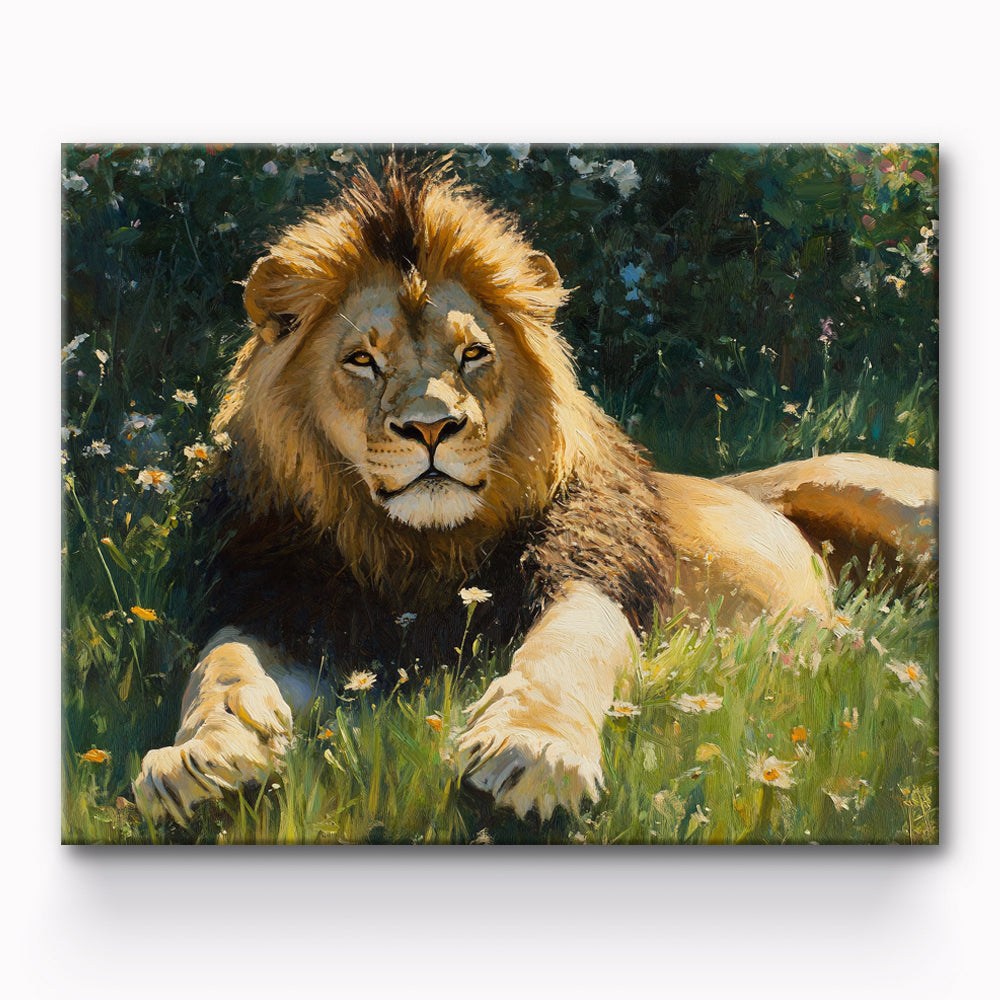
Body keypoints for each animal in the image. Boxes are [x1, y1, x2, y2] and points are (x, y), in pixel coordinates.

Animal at [133, 159, 937, 825]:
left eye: (473, 354)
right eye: (362, 360)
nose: (432, 427)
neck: (419, 549)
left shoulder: (590, 571)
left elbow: (567, 647)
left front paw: (533, 751)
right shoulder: (278, 593)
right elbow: (221, 667)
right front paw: (200, 758)